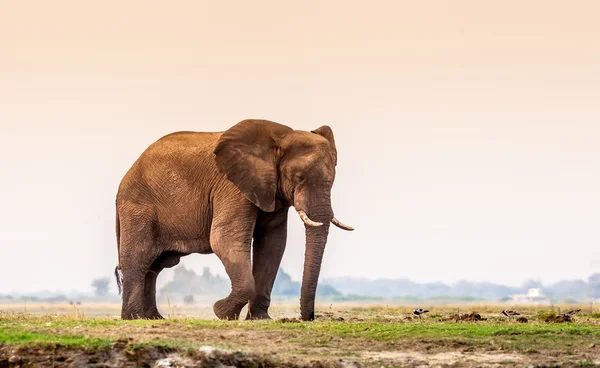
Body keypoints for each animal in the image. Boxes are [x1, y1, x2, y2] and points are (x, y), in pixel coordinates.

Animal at [115, 119, 354, 320]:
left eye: (333, 179)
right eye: (298, 177)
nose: (308, 318)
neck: (280, 137)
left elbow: (273, 244)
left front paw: (259, 319)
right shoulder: (232, 186)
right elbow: (224, 238)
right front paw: (221, 313)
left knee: (155, 266)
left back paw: (153, 318)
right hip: (138, 208)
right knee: (139, 258)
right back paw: (133, 318)